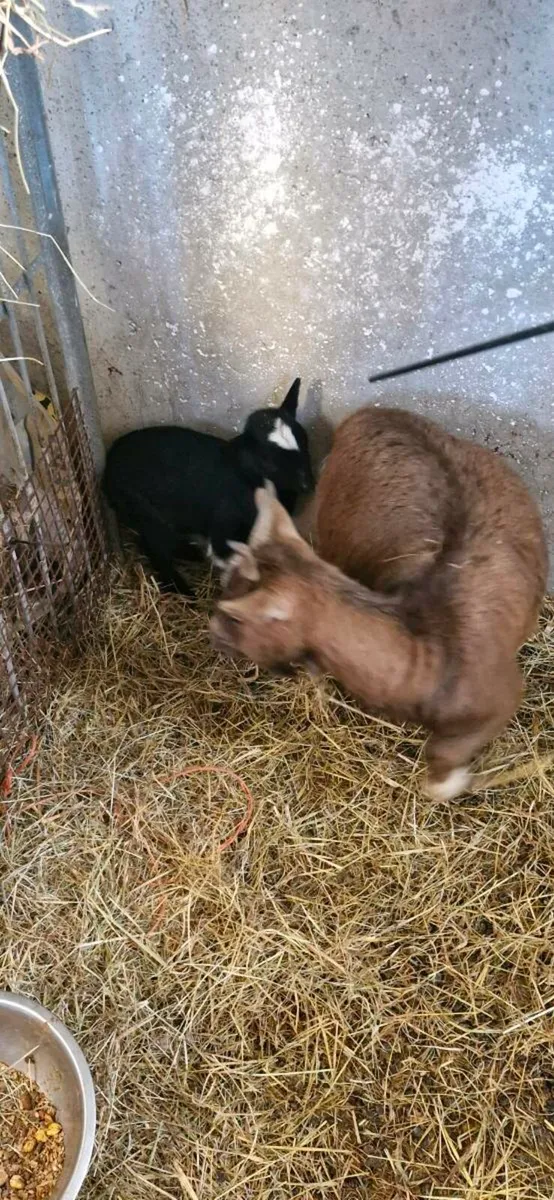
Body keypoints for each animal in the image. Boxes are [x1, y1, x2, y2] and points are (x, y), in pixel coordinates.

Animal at [103, 379, 314, 594]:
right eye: (268, 461)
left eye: (305, 440)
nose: (308, 485)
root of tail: (108, 465)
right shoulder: (225, 525)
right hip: (144, 512)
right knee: (155, 547)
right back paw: (183, 589)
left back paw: (191, 554)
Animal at [211, 412, 547, 799]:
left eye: (238, 616)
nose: (212, 630)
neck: (432, 643)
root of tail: (370, 413)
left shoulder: (502, 698)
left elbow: (440, 774)